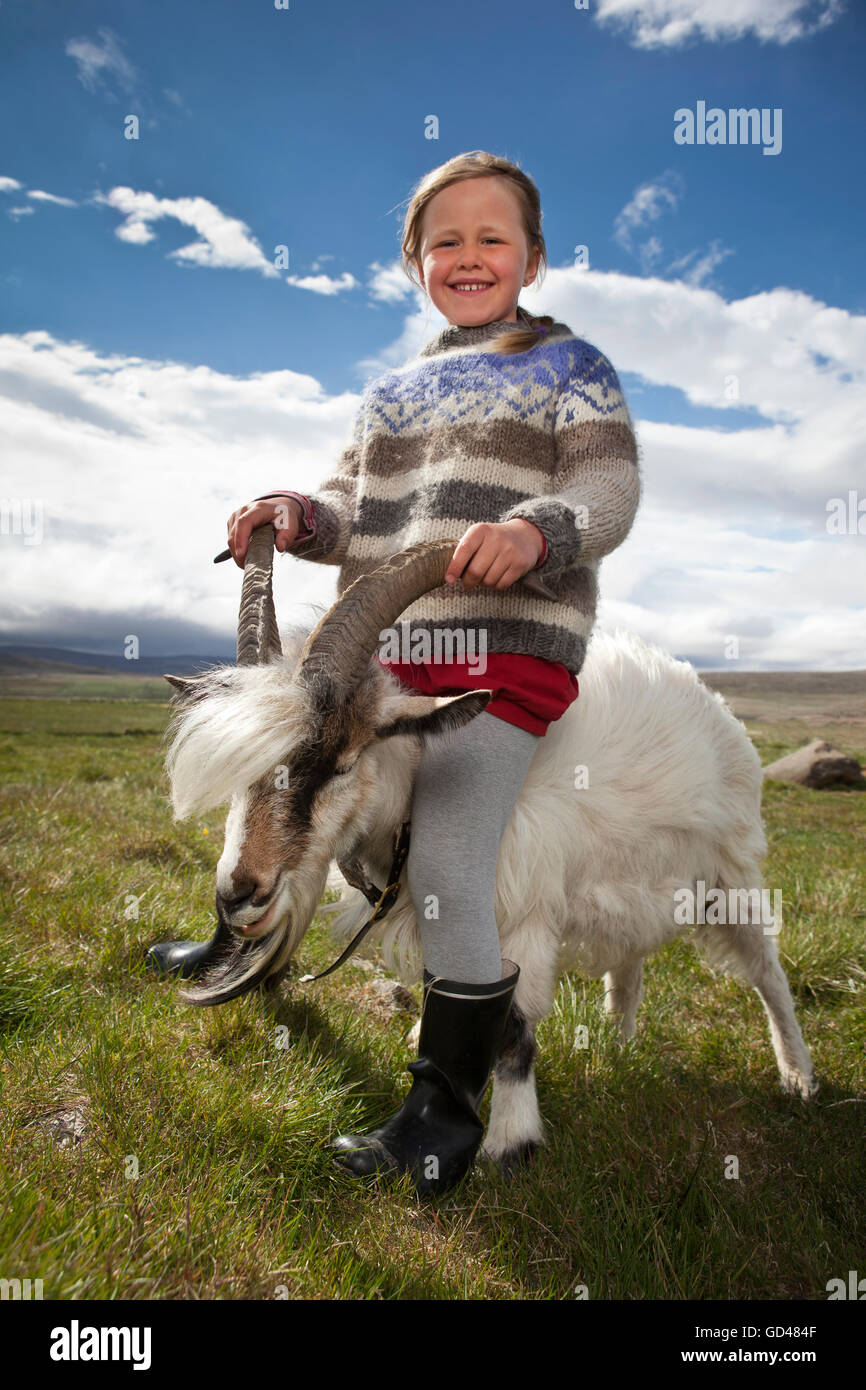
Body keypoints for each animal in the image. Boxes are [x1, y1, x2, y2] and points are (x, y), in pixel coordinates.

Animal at [164, 525, 817, 1167]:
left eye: (345, 761)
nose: (239, 897)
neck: (420, 784)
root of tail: (704, 693)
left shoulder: (520, 909)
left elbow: (516, 1024)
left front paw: (509, 1141)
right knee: (630, 956)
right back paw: (619, 1040)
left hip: (729, 870)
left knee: (767, 970)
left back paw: (798, 1076)